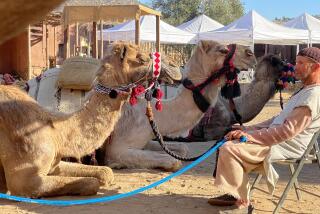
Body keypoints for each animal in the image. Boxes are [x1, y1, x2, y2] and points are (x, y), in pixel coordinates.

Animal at [0, 41, 180, 197]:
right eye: (141, 58)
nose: (175, 66)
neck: (57, 132)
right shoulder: (26, 181)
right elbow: (92, 183)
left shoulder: (55, 163)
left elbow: (106, 172)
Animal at [102, 39, 258, 171]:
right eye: (222, 50)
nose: (251, 54)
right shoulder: (117, 149)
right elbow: (173, 161)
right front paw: (116, 164)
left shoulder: (146, 139)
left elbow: (183, 148)